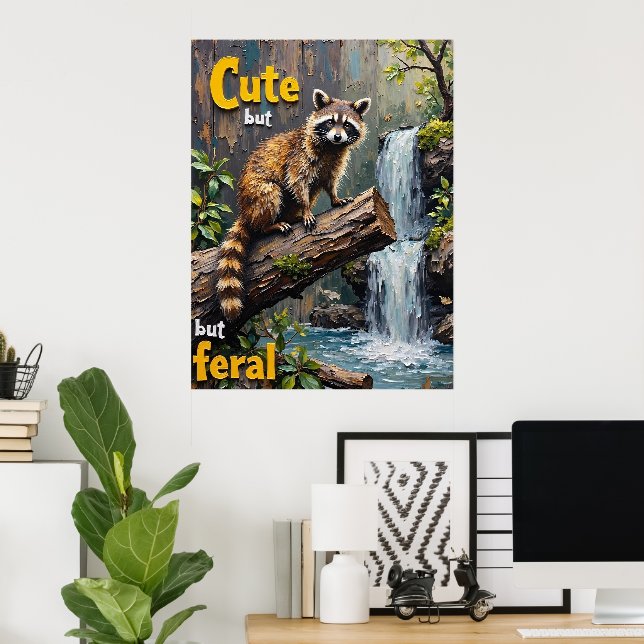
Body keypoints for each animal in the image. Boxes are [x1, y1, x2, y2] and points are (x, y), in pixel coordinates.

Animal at [216, 88, 371, 321]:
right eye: (330, 122)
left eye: (346, 125)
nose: (337, 136)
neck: (331, 147)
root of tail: (245, 211)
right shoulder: (300, 156)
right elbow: (297, 182)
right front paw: (306, 209)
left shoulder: (335, 161)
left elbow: (330, 181)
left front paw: (335, 198)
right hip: (256, 195)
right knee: (270, 194)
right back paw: (269, 224)